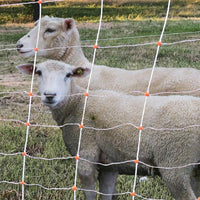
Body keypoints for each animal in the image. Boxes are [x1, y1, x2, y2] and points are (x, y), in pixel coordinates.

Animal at [16, 59, 200, 200]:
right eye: (38, 72)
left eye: (68, 75)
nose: (49, 95)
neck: (77, 104)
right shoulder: (110, 165)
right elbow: (107, 193)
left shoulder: (85, 155)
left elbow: (90, 194)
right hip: (194, 170)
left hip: (175, 165)